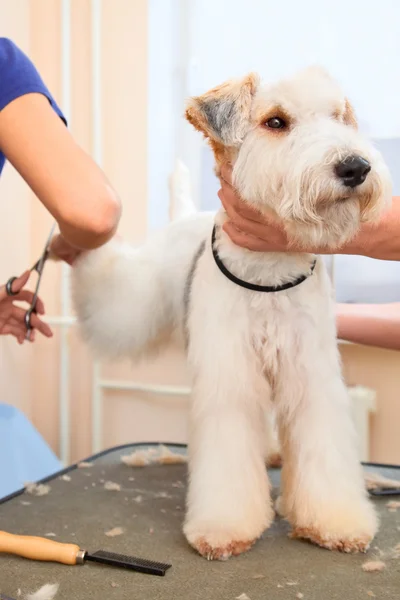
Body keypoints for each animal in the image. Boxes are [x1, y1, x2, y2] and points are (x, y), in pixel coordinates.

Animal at [71, 68, 390, 560]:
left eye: (338, 116)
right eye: (276, 121)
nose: (355, 167)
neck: (271, 269)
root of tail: (185, 214)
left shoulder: (310, 374)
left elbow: (323, 453)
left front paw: (335, 522)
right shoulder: (230, 374)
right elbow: (228, 457)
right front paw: (224, 528)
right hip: (134, 306)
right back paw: (78, 252)